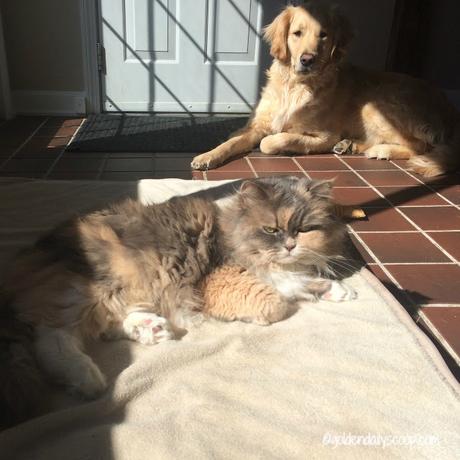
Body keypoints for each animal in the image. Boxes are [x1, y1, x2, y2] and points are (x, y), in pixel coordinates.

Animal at [192, 1, 460, 177]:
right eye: (296, 33)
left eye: (323, 35)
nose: (307, 59)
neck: (295, 86)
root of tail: (448, 107)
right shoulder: (258, 125)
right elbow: (231, 142)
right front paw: (208, 156)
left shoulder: (324, 135)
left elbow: (275, 140)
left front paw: (282, 146)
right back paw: (351, 145)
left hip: (375, 106)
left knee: (421, 145)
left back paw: (379, 149)